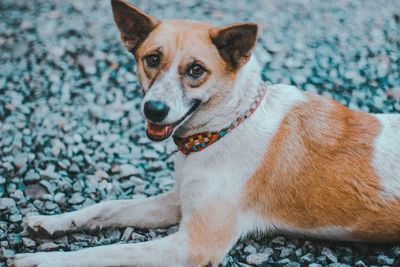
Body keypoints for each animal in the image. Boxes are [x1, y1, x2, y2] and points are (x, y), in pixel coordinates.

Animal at [8, 0, 400, 267]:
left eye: (196, 70)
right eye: (152, 59)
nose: (154, 110)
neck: (227, 126)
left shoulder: (191, 245)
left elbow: (108, 252)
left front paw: (39, 260)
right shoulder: (177, 201)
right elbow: (109, 207)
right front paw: (50, 223)